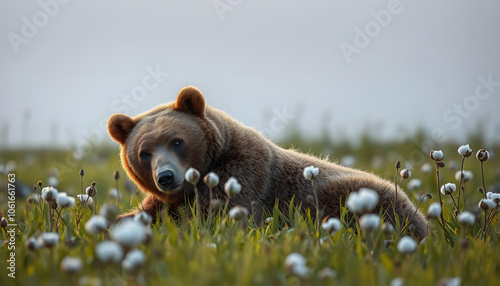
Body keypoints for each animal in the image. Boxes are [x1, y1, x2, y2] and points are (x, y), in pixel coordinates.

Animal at [107, 86, 428, 240]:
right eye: (144, 152)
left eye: (176, 141)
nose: (166, 177)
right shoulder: (168, 201)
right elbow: (146, 212)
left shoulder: (242, 175)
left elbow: (225, 219)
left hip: (355, 195)